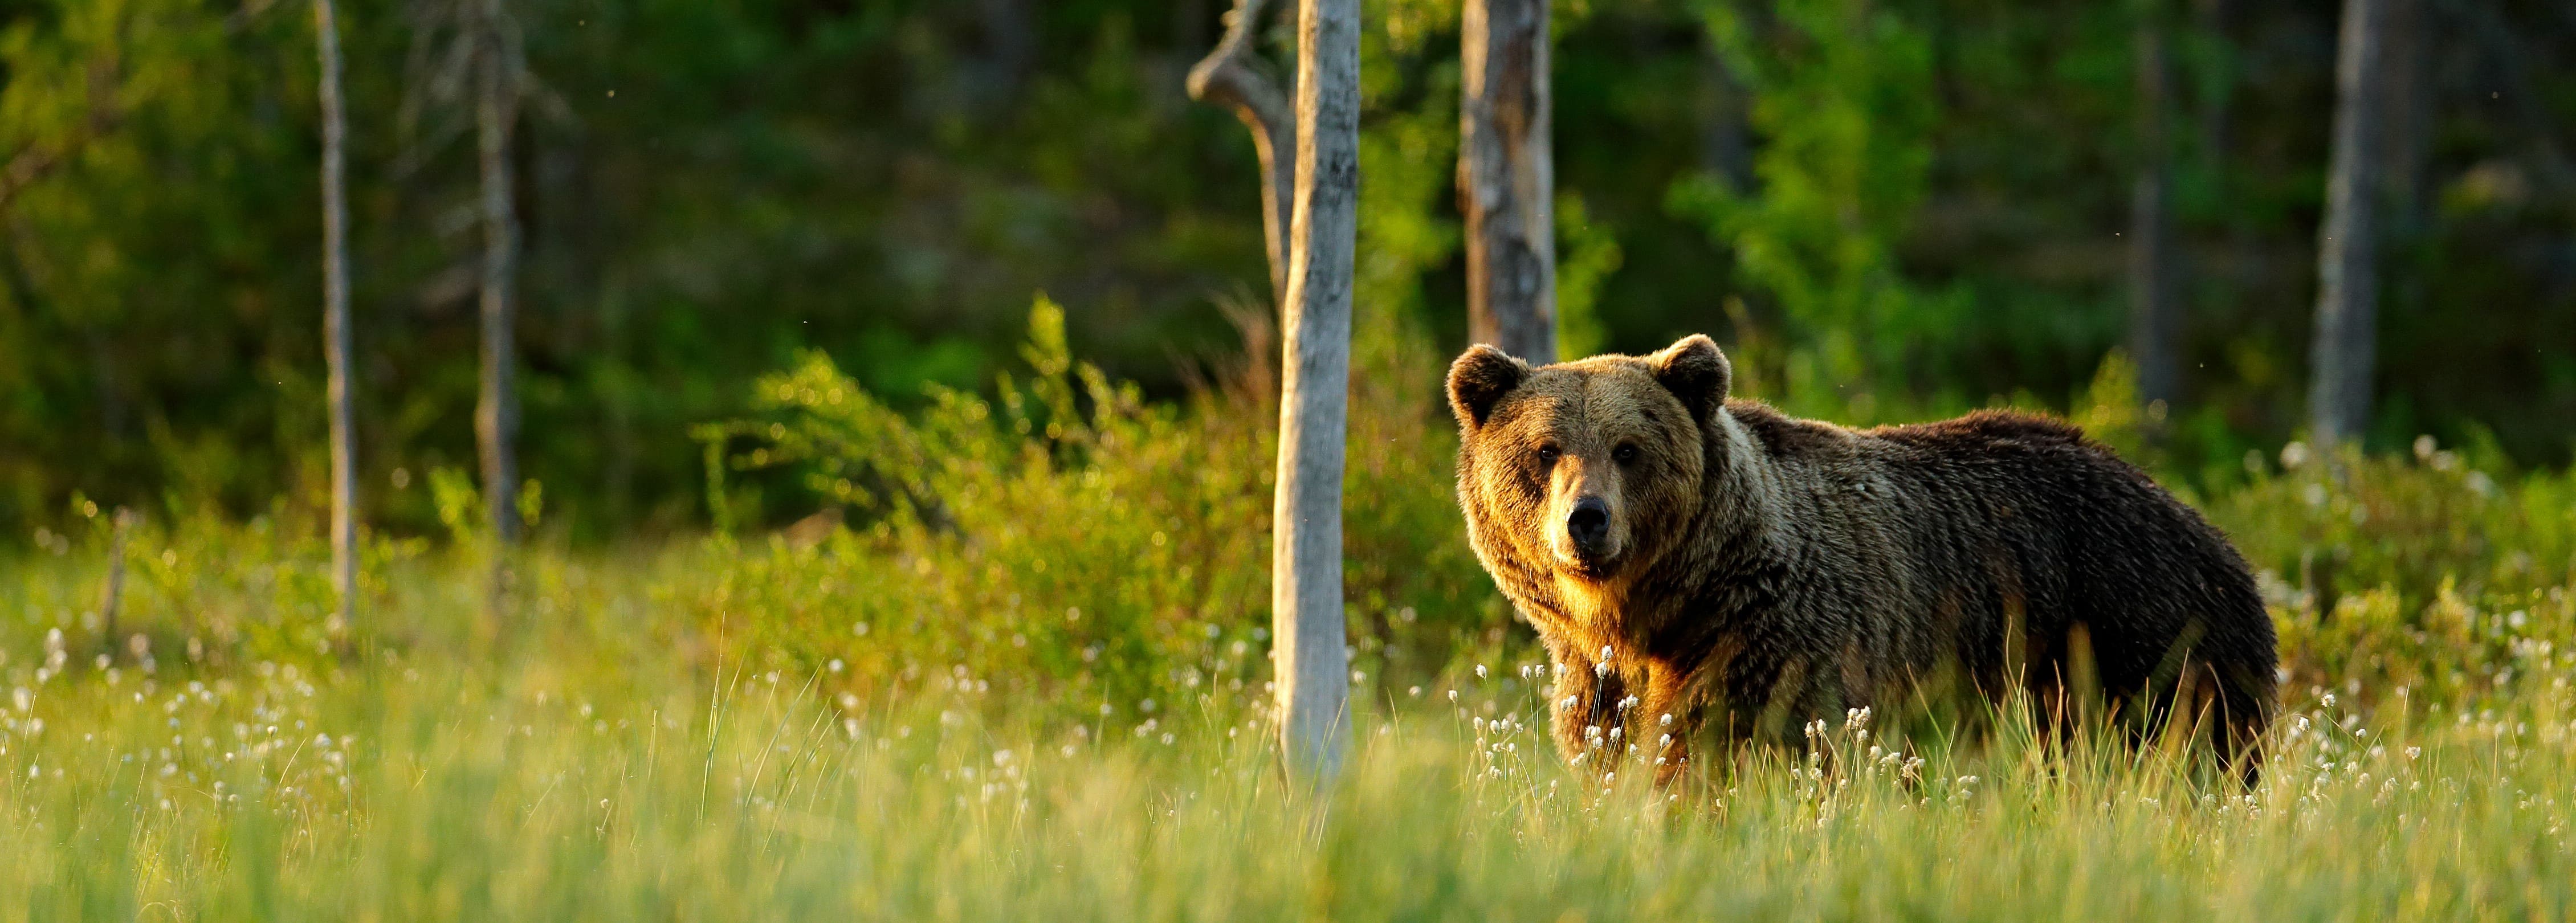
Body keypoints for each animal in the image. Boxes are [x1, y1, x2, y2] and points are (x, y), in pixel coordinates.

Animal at [1453, 332, 2277, 778]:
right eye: (1545, 450)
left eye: (1628, 449)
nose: (1585, 521)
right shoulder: (1596, 681)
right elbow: (1608, 750)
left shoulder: (1770, 643)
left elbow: (1722, 749)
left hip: (2137, 638)